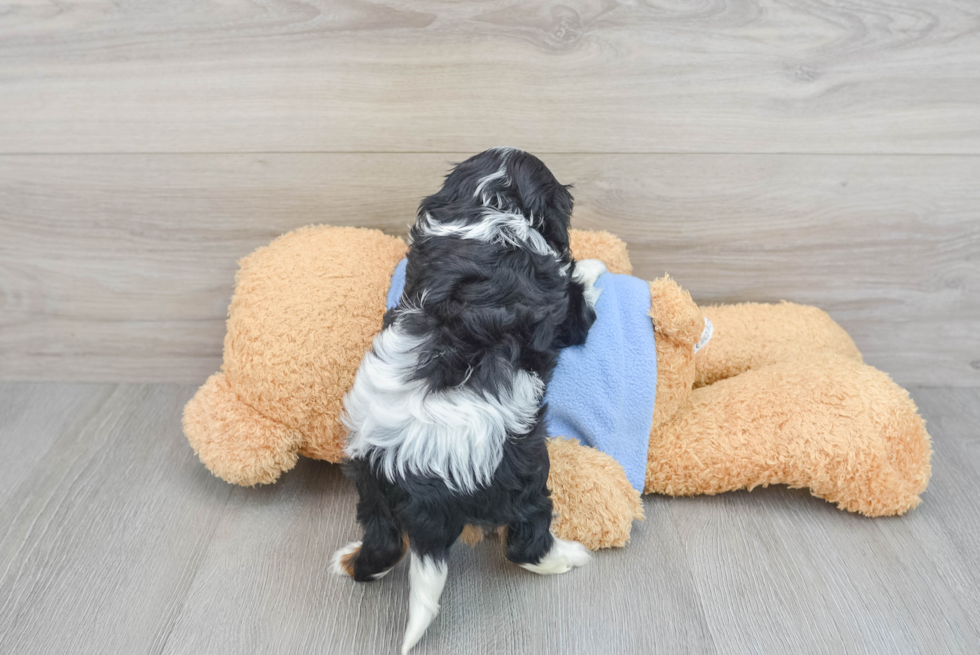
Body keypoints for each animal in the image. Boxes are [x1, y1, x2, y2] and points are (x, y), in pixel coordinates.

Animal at [332, 149, 604, 655]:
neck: (488, 205)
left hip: (371, 490)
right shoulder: (567, 309)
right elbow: (579, 292)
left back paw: (349, 560)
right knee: (524, 543)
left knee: (383, 546)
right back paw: (570, 557)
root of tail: (419, 482)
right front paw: (596, 267)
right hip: (519, 473)